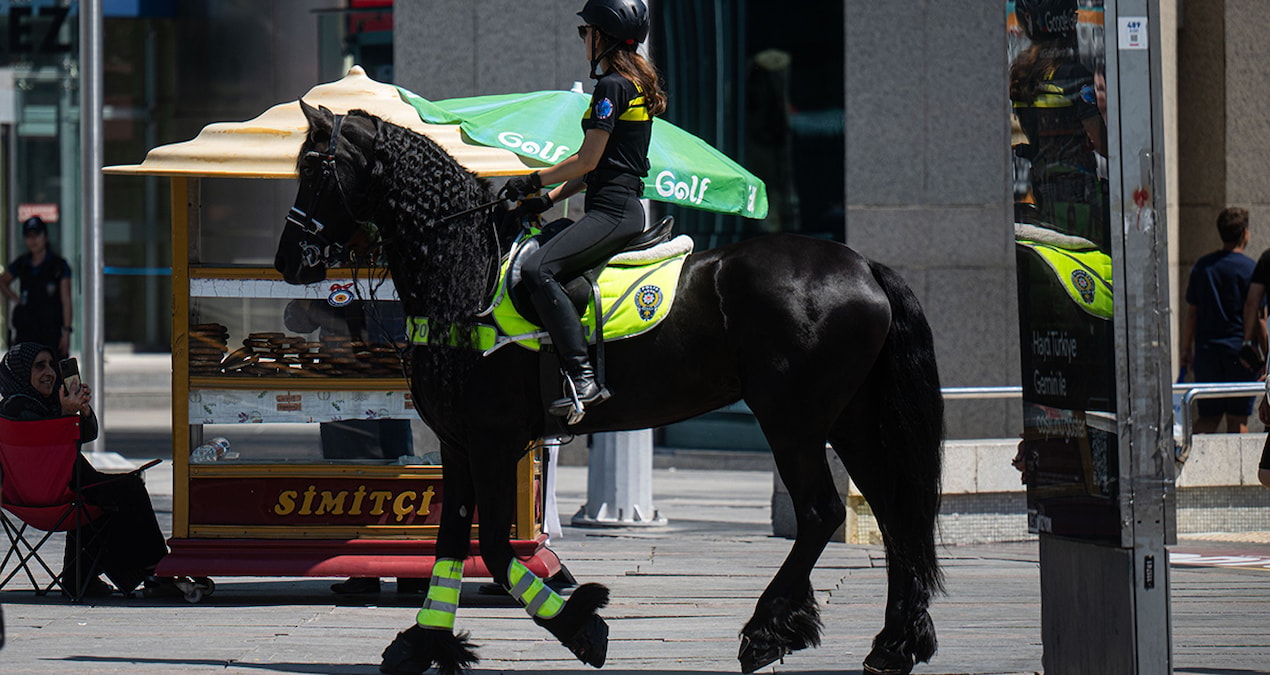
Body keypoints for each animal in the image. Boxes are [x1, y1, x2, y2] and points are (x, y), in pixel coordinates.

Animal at [275, 100, 946, 675]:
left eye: (312, 166)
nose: (288, 260)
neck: (466, 273)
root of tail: (863, 266)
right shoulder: (460, 441)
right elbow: (451, 541)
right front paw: (425, 643)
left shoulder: (493, 439)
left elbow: (495, 547)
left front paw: (579, 624)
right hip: (850, 420)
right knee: (894, 513)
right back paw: (894, 645)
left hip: (793, 419)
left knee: (822, 512)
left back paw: (768, 631)